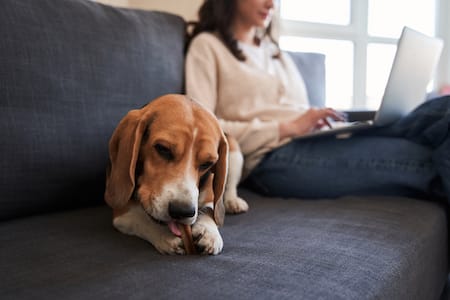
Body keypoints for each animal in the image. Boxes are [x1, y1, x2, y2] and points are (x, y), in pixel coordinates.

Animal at [104, 93, 248, 253]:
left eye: (207, 164)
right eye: (163, 149)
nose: (182, 211)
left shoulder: (210, 197)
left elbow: (210, 211)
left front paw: (209, 232)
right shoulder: (121, 212)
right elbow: (141, 219)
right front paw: (165, 236)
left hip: (234, 152)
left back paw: (233, 201)